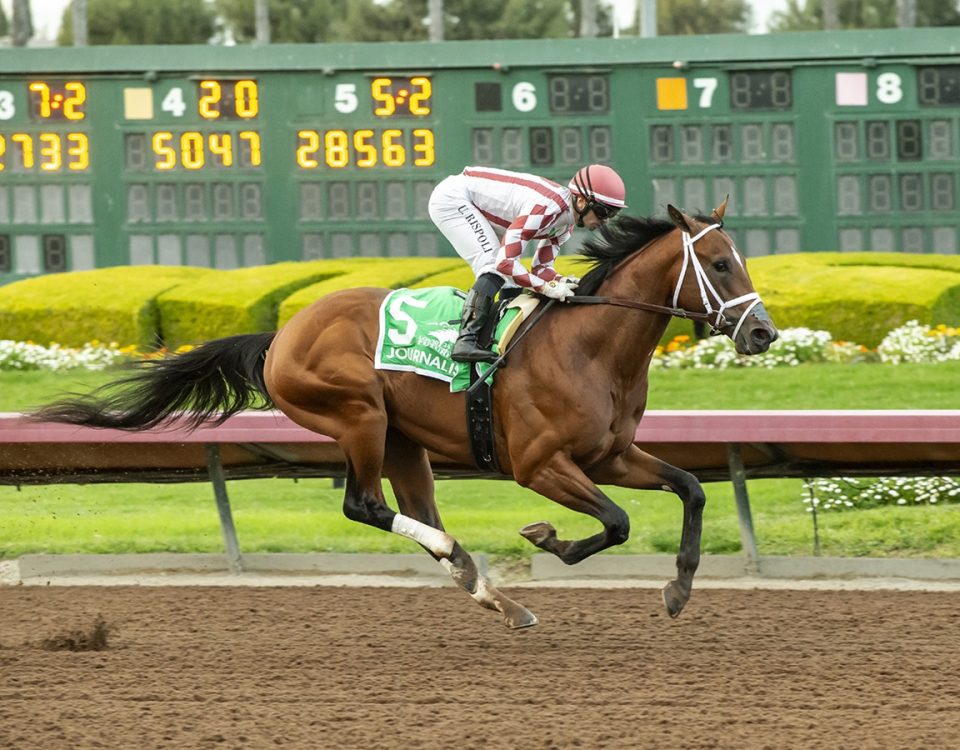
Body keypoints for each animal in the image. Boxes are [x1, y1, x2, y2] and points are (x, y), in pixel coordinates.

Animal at [33, 200, 776, 628]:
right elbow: (616, 522)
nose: (763, 333)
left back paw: (494, 594)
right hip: (359, 416)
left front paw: (678, 588)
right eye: (718, 262)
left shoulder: (611, 454)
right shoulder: (539, 465)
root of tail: (282, 334)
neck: (589, 347)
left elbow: (691, 488)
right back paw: (470, 567)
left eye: (740, 259)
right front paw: (547, 538)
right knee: (364, 505)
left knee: (416, 512)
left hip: (404, 442)